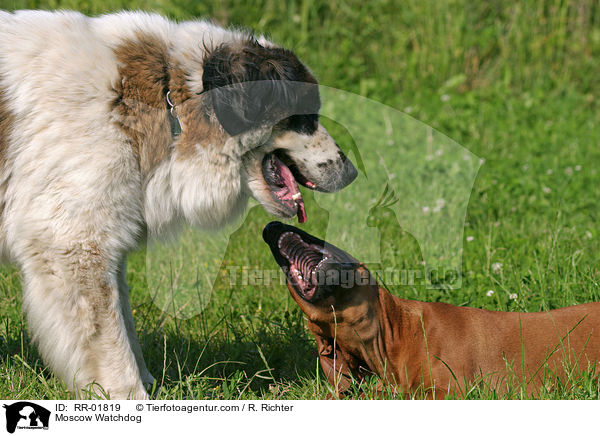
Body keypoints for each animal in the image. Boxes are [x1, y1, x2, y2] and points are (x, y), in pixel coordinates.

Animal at [0, 10, 356, 398]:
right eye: (307, 118)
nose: (351, 172)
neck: (168, 101)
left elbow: (123, 320)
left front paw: (147, 382)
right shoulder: (75, 245)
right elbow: (109, 340)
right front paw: (129, 396)